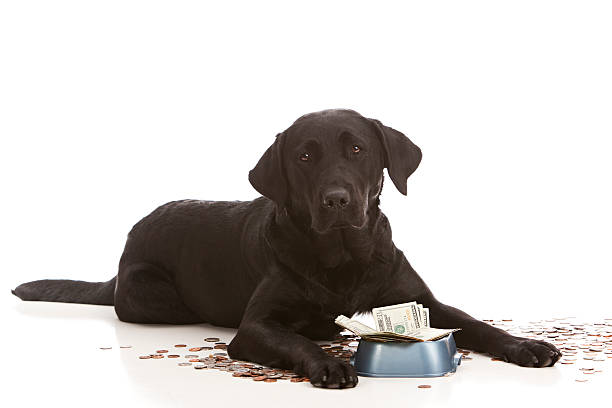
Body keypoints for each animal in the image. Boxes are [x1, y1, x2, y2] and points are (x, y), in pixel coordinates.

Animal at [13, 109, 560, 388]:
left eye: (357, 149)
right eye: (304, 156)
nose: (336, 200)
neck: (344, 258)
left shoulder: (423, 300)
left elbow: (475, 323)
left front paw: (527, 345)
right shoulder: (256, 326)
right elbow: (292, 339)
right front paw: (326, 361)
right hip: (155, 296)